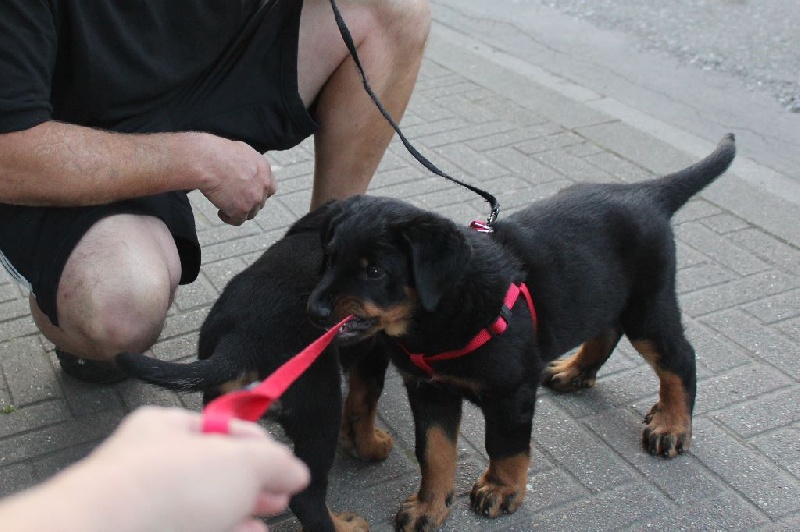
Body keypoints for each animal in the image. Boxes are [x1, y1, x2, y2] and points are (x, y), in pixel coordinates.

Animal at [116, 205, 393, 532]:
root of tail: (242, 338)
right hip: (321, 406)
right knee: (307, 499)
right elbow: (366, 405)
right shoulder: (375, 348)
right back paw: (345, 524)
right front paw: (374, 446)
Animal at [306, 135, 736, 530]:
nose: (314, 309)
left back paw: (671, 426)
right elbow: (434, 450)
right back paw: (575, 371)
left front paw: (501, 489)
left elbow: (505, 444)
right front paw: (430, 506)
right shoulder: (430, 389)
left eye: (374, 271)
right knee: (607, 329)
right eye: (329, 258)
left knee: (679, 357)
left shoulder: (511, 391)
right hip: (605, 293)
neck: (446, 309)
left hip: (647, 305)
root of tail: (645, 193)